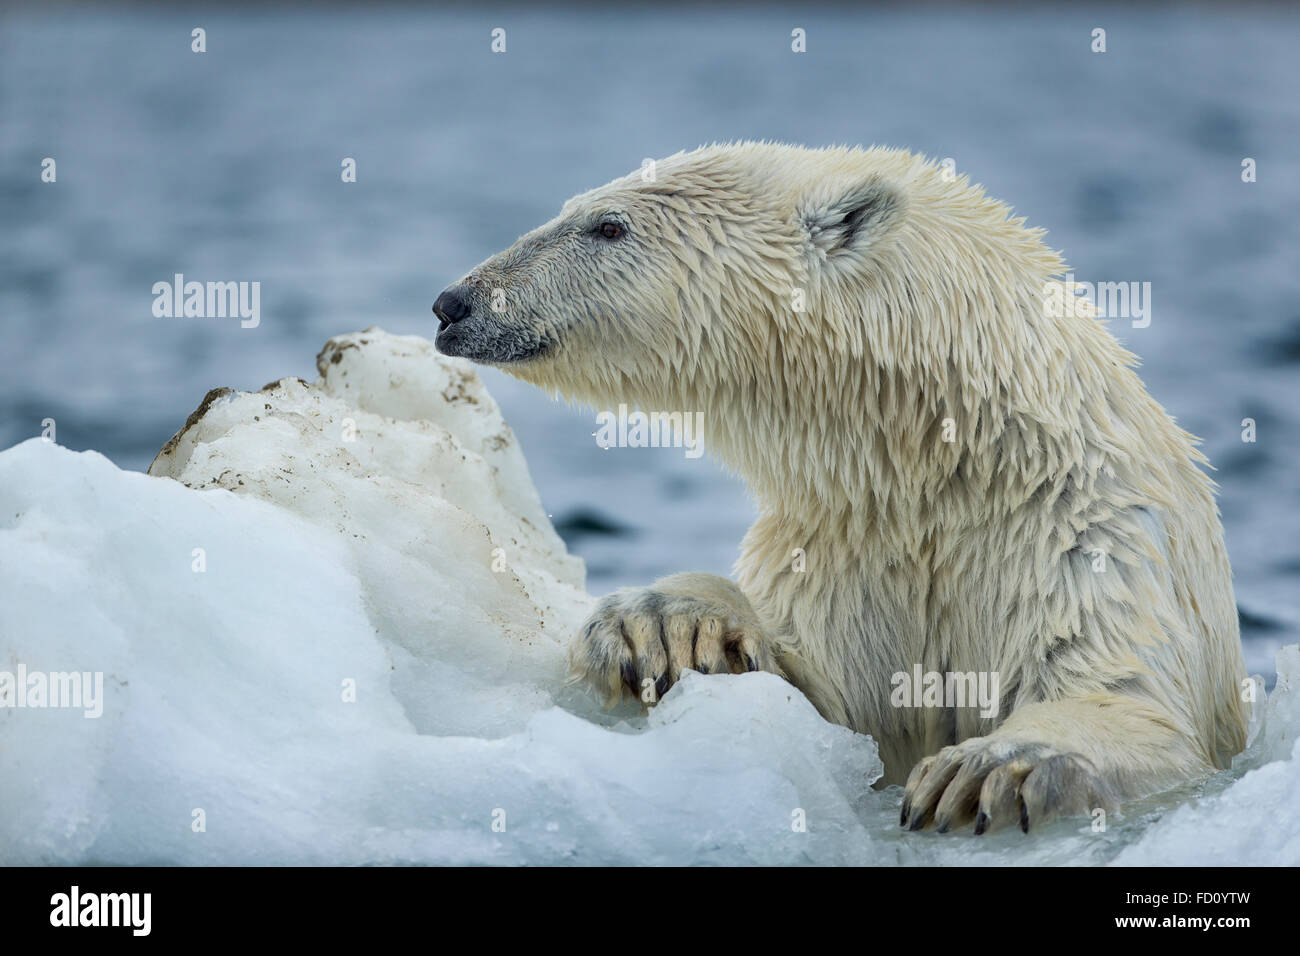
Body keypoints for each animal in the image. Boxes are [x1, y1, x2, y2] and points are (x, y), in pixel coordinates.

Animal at [436, 143, 1248, 837]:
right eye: (578, 210)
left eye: (607, 225)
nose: (454, 303)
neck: (944, 465)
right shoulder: (845, 547)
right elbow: (827, 704)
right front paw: (658, 622)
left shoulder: (1088, 540)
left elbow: (1124, 695)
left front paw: (991, 769)